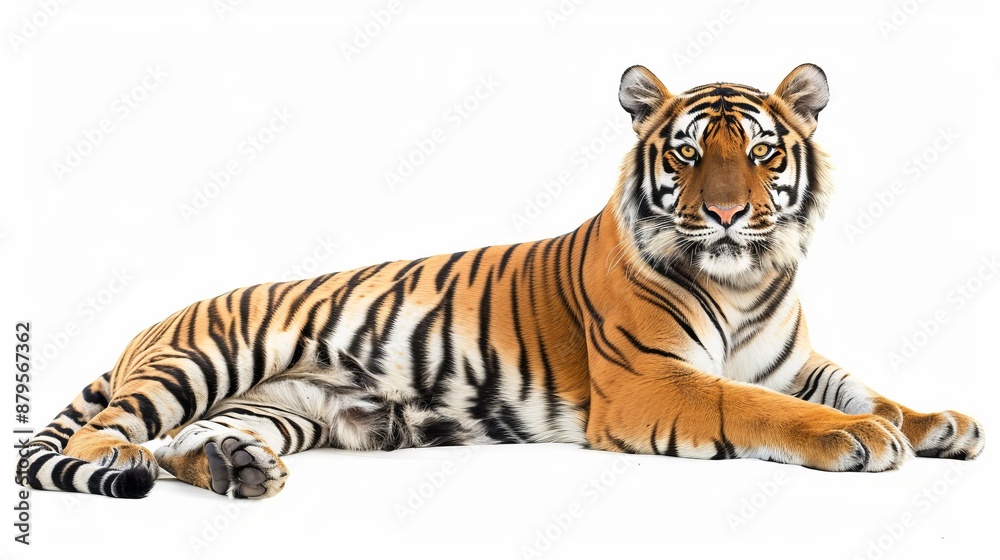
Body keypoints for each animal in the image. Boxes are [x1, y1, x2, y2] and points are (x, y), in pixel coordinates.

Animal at [16, 63, 984, 500]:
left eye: (760, 153)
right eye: (685, 154)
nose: (723, 214)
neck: (746, 282)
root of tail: (147, 326)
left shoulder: (794, 360)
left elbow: (869, 389)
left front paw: (940, 424)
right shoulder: (651, 381)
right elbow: (756, 406)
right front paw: (856, 438)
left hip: (284, 408)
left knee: (192, 440)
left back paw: (234, 468)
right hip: (202, 361)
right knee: (105, 436)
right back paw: (130, 461)